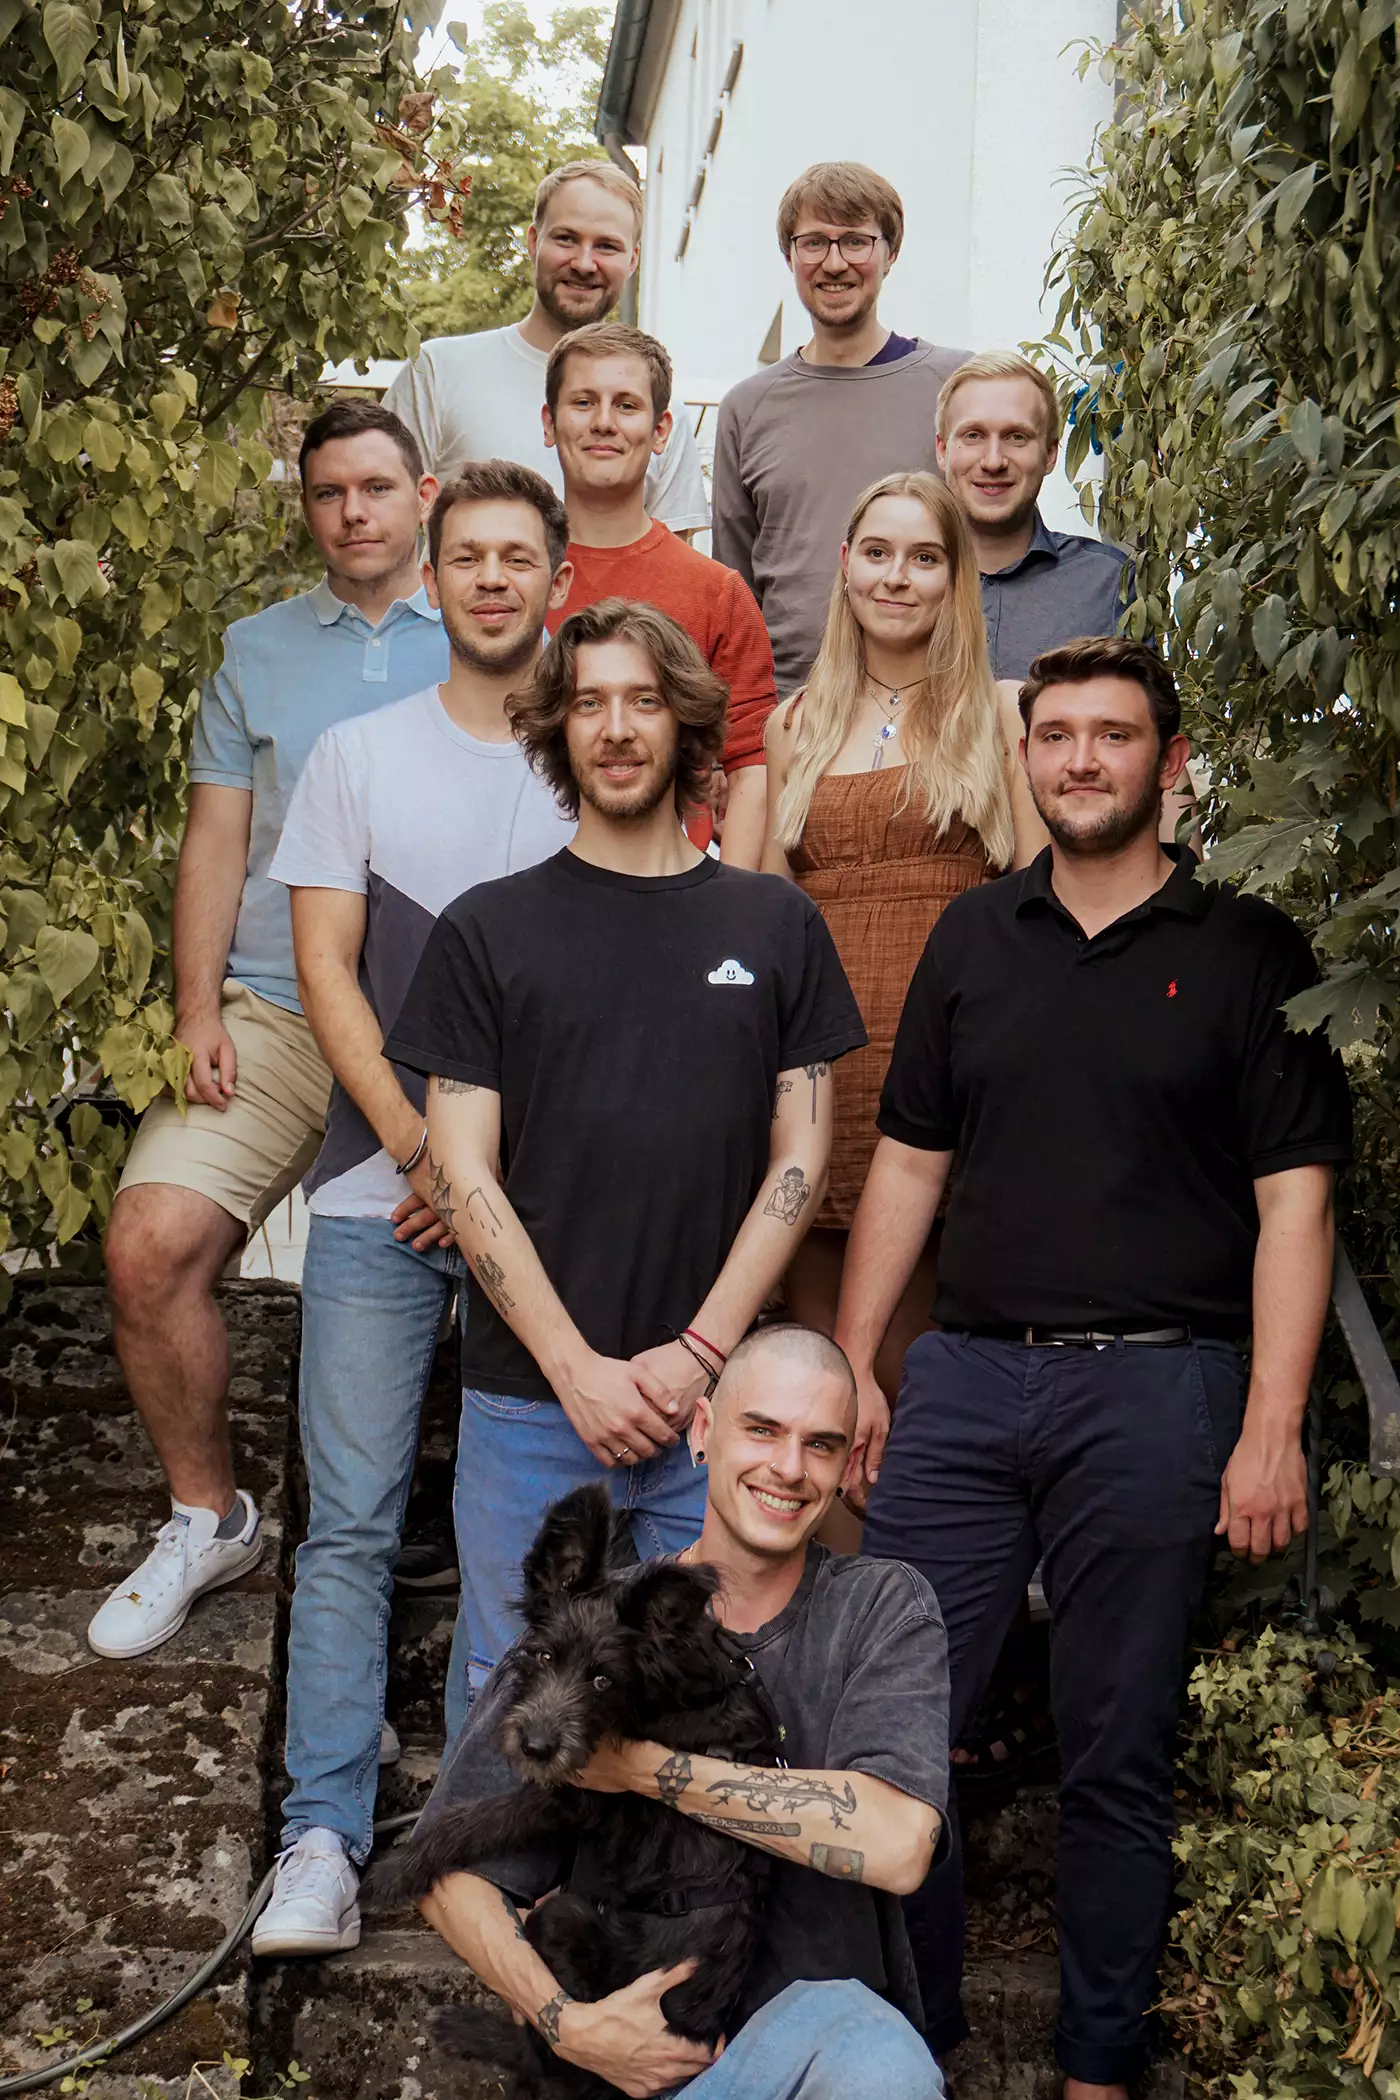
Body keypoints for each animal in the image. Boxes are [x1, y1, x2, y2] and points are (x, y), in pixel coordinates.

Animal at [367, 1486, 785, 2091]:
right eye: (545, 1655)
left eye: (603, 1680)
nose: (536, 1746)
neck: (671, 1681)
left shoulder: (580, 1792)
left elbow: (470, 1820)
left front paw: (394, 1871)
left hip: (564, 1922)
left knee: (549, 2057)